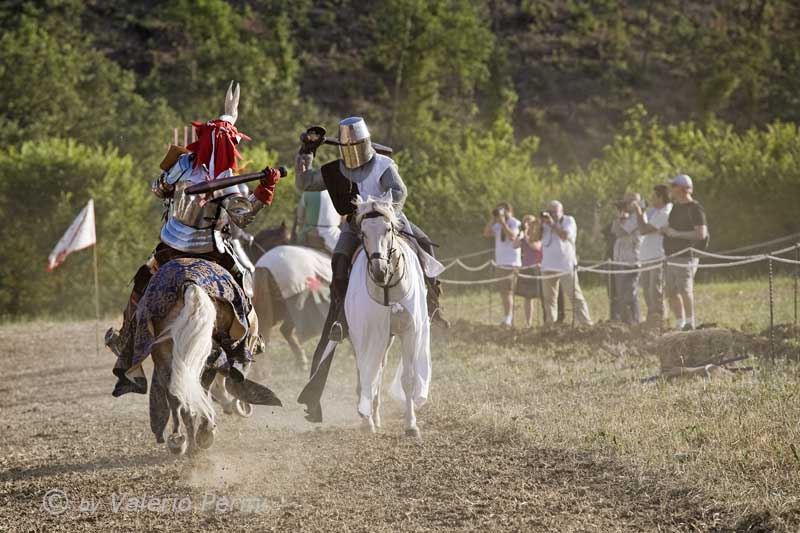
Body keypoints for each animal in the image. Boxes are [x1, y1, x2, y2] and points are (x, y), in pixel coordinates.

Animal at [344, 193, 434, 434]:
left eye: (388, 229)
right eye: (363, 233)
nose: (379, 271)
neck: (387, 288)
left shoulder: (409, 332)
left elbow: (408, 379)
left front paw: (411, 425)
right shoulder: (364, 334)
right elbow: (367, 372)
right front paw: (366, 421)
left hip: (387, 338)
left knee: (380, 371)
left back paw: (375, 416)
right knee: (368, 373)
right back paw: (368, 418)